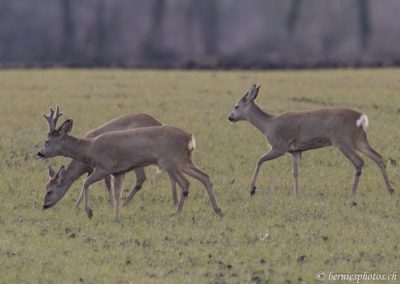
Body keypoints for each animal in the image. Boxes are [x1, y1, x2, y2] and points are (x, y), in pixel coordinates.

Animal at [38, 106, 223, 222]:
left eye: (50, 190)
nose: (45, 205)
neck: (89, 148)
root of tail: (190, 138)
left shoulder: (104, 167)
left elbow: (85, 183)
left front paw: (89, 212)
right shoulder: (119, 171)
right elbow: (117, 193)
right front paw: (116, 216)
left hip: (170, 161)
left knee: (185, 183)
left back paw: (175, 214)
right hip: (184, 161)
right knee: (205, 177)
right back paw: (218, 211)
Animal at [228, 84, 394, 197]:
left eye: (236, 106)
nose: (229, 117)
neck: (269, 125)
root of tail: (362, 117)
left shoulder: (279, 146)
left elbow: (259, 160)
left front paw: (252, 189)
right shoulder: (295, 150)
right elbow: (295, 172)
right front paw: (296, 195)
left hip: (343, 140)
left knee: (359, 162)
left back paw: (352, 194)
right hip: (359, 139)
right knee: (379, 157)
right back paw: (391, 190)